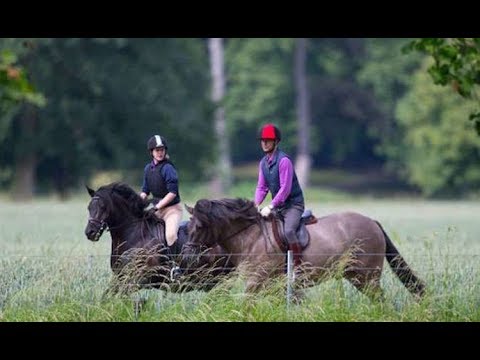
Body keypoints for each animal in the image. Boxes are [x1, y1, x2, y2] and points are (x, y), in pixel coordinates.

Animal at [85, 183, 233, 296]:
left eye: (103, 207)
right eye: (89, 207)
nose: (90, 232)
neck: (133, 235)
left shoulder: (138, 279)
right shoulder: (120, 277)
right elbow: (107, 296)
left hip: (220, 279)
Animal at [182, 198, 426, 300]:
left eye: (200, 226)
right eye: (189, 224)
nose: (187, 254)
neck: (251, 237)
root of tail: (373, 222)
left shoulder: (256, 281)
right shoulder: (272, 285)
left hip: (368, 276)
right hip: (356, 276)